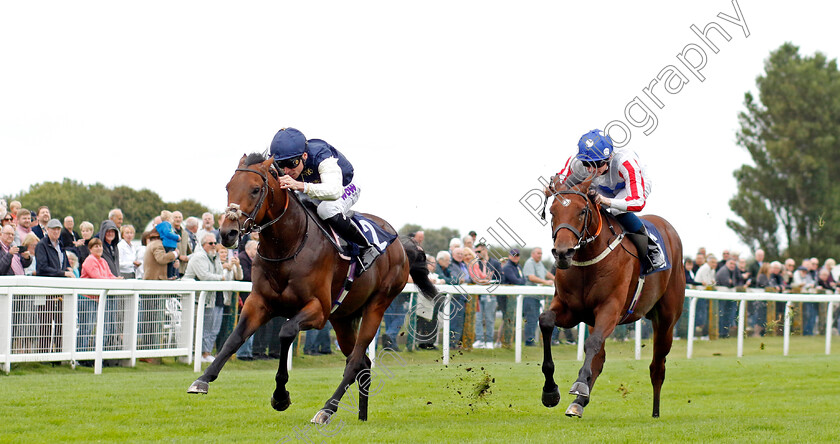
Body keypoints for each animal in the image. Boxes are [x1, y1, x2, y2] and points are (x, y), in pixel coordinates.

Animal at [187, 153, 436, 424]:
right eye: (228, 187)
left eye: (255, 189)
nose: (227, 233)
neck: (288, 246)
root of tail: (399, 242)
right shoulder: (259, 302)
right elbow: (234, 338)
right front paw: (202, 379)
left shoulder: (317, 310)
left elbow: (285, 332)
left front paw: (281, 397)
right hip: (342, 318)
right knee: (364, 363)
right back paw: (361, 416)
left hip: (377, 306)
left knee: (355, 361)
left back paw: (327, 409)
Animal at [540, 175, 684, 418]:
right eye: (552, 211)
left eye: (582, 211)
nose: (562, 253)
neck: (588, 260)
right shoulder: (571, 309)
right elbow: (546, 321)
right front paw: (550, 391)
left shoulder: (611, 308)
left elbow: (592, 342)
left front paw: (579, 384)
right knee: (599, 358)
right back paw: (579, 403)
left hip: (666, 320)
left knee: (657, 365)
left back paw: (655, 411)